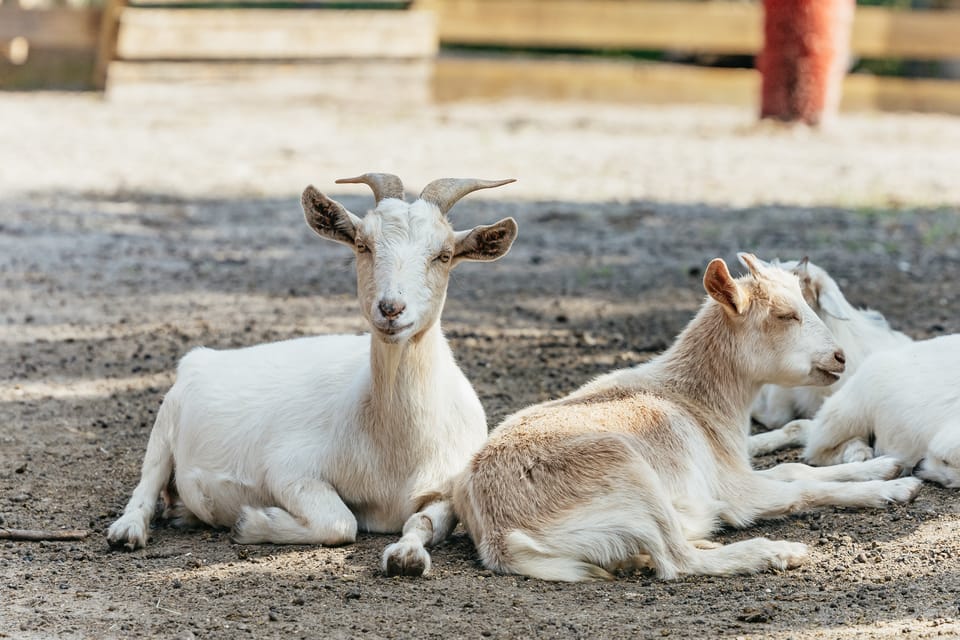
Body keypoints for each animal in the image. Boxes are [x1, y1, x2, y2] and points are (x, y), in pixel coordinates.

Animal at [107, 172, 516, 576]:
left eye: (443, 255)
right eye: (363, 245)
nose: (390, 308)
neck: (394, 449)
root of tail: (200, 358)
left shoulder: (449, 488)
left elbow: (424, 521)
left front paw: (407, 556)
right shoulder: (289, 470)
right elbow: (341, 522)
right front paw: (250, 522)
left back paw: (184, 512)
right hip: (166, 420)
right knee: (147, 481)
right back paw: (127, 531)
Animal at [454, 252, 920, 584]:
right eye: (784, 315)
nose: (840, 358)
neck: (695, 402)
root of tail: (499, 536)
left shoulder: (735, 470)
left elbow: (794, 470)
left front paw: (884, 466)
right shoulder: (738, 491)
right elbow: (801, 489)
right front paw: (895, 488)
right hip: (629, 471)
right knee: (678, 562)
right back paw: (773, 551)